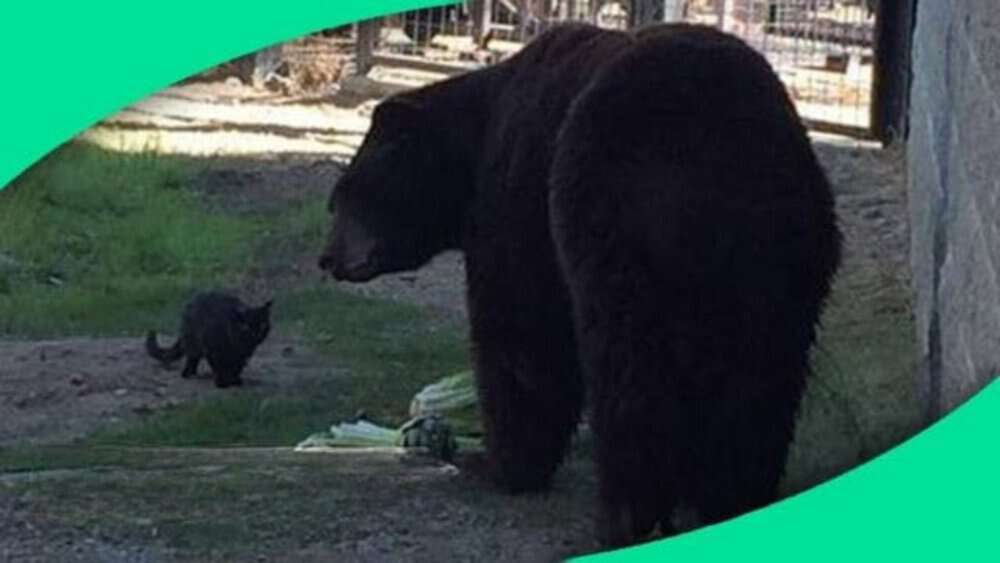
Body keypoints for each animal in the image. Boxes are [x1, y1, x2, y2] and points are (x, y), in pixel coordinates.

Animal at [318, 22, 841, 549]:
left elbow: (520, 329)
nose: (327, 259)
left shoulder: (517, 197)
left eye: (345, 195)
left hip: (615, 215)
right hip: (787, 251)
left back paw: (626, 514)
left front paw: (495, 462)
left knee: (627, 368)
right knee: (762, 372)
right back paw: (731, 497)